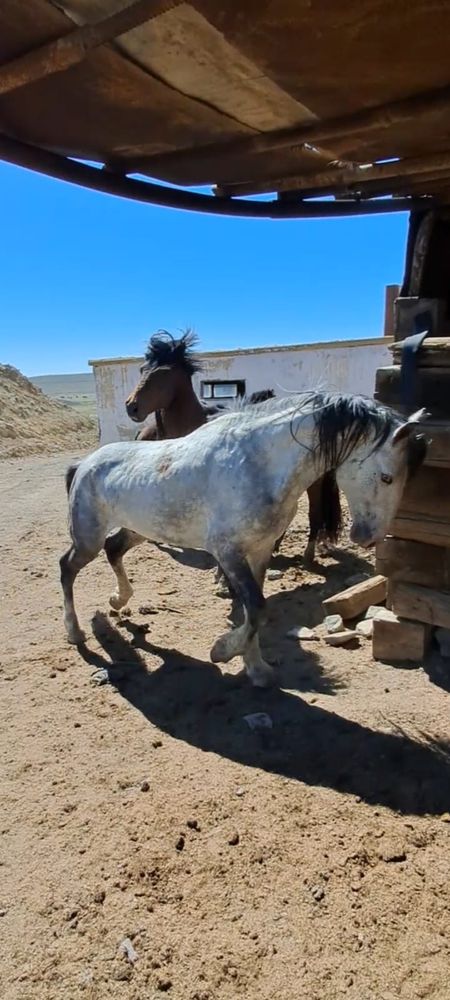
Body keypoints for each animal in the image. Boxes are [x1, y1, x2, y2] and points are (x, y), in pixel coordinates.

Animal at [124, 330, 342, 560]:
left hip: (313, 481)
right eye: (142, 370)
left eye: (164, 373)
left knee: (314, 511)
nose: (131, 406)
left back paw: (307, 553)